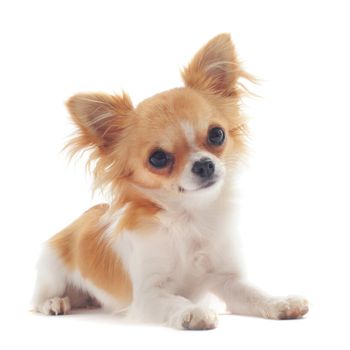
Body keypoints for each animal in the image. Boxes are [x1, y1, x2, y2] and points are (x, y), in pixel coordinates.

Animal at [31, 32, 308, 328]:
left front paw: (280, 302)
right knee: (39, 300)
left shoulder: (228, 281)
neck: (189, 217)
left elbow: (255, 294)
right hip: (50, 270)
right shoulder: (148, 295)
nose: (204, 164)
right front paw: (193, 312)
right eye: (158, 158)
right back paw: (55, 302)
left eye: (217, 134)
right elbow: (175, 301)